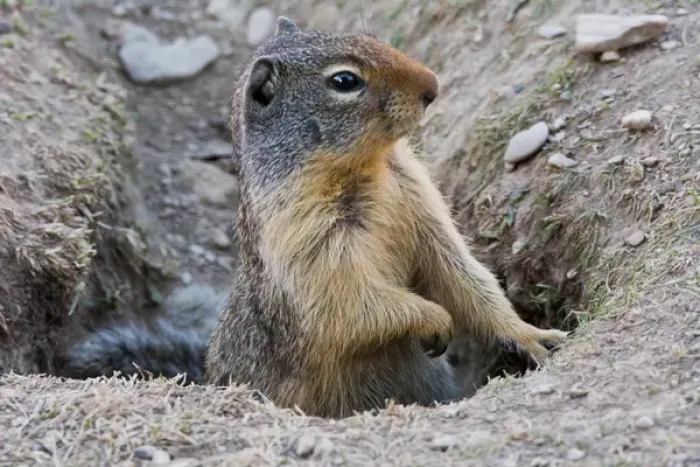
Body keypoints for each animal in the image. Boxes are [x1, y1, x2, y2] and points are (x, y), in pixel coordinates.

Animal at [61, 17, 567, 418]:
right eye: (344, 81)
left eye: (371, 36)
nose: (433, 86)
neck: (367, 167)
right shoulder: (306, 236)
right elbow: (349, 297)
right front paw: (434, 319)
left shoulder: (422, 204)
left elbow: (464, 274)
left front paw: (537, 336)